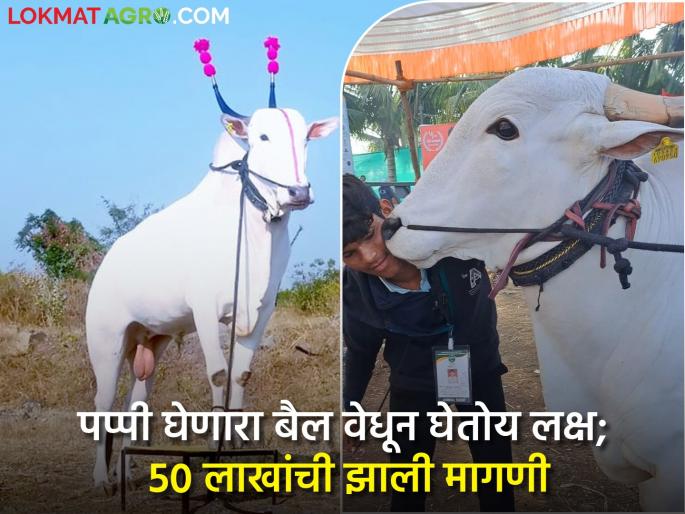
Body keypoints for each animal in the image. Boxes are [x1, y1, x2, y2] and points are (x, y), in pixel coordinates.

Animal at [86, 108, 337, 488]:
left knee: (137, 399)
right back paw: (102, 478)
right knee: (105, 400)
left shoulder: (261, 313)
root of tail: (104, 266)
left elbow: (240, 376)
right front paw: (214, 453)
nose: (298, 191)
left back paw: (127, 471)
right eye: (261, 137)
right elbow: (219, 374)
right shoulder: (204, 309)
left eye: (306, 138)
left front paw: (236, 450)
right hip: (106, 339)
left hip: (151, 342)